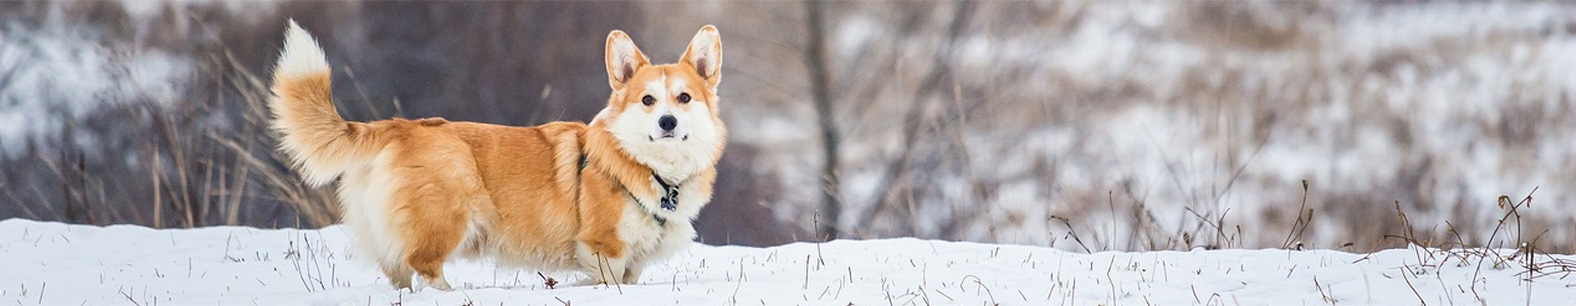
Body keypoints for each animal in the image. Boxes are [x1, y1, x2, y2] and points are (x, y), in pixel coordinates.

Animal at [269, 20, 724, 288]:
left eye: (684, 98)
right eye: (647, 100)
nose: (668, 122)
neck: (653, 169)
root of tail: (399, 125)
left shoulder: (633, 264)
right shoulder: (604, 249)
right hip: (446, 218)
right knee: (425, 267)